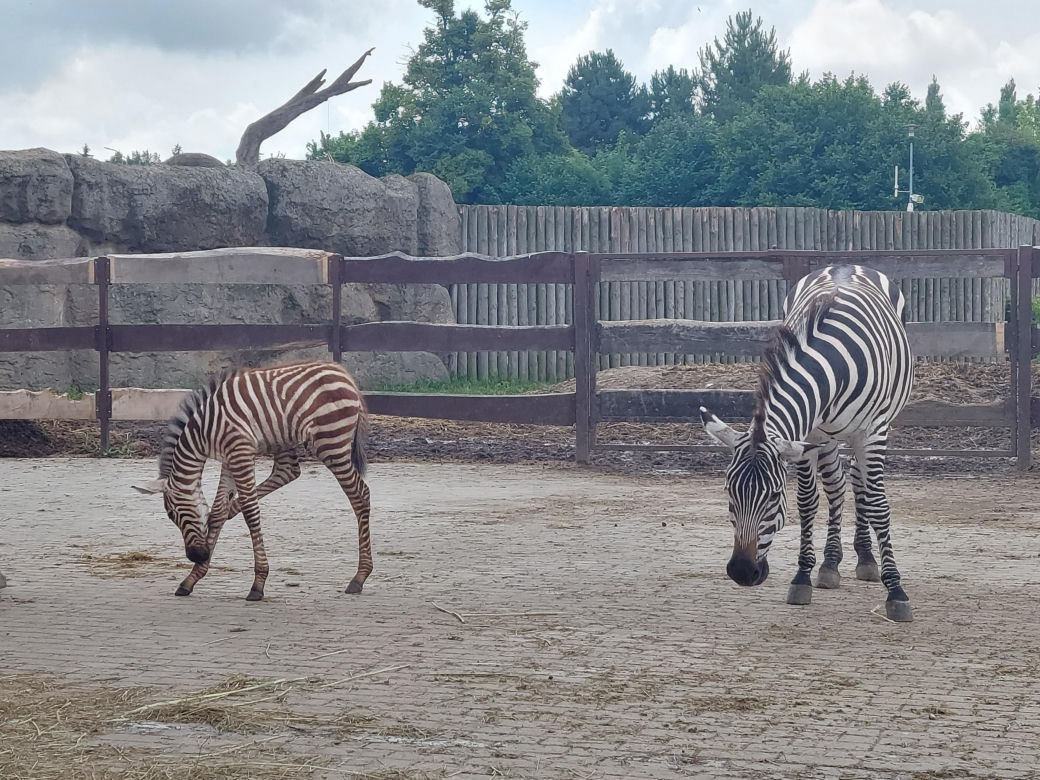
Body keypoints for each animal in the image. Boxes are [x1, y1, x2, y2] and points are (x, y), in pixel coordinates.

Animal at [133, 360, 371, 602]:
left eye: (172, 515)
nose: (196, 556)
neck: (203, 431)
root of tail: (343, 373)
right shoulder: (228, 458)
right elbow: (217, 511)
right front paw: (192, 578)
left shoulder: (240, 453)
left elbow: (250, 510)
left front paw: (258, 583)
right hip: (287, 438)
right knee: (288, 471)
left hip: (330, 443)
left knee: (360, 494)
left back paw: (359, 577)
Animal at [699, 264, 915, 622]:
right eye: (729, 492)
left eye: (773, 496)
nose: (742, 572)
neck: (831, 363)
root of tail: (846, 265)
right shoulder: (808, 433)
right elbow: (807, 501)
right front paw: (803, 576)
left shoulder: (873, 432)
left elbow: (879, 504)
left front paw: (896, 591)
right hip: (828, 437)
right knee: (839, 485)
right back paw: (831, 564)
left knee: (861, 484)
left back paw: (866, 560)